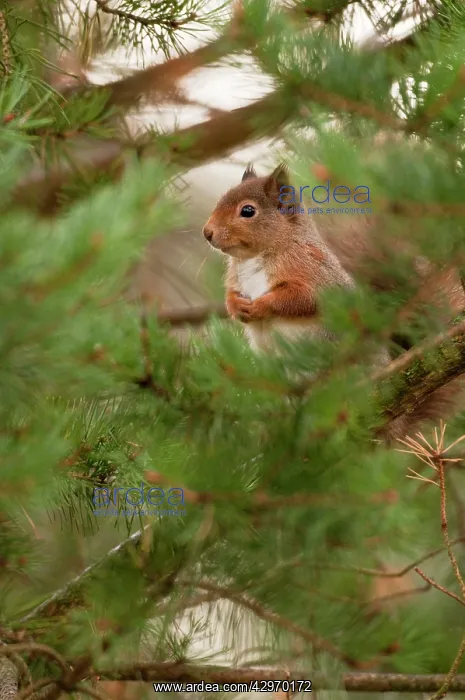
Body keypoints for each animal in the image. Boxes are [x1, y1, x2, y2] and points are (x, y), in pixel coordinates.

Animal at [202, 163, 465, 439]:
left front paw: (262, 306)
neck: (254, 257)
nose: (207, 232)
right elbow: (230, 297)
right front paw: (237, 307)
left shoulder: (314, 275)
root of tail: (395, 425)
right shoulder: (236, 281)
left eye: (248, 211)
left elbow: (300, 300)